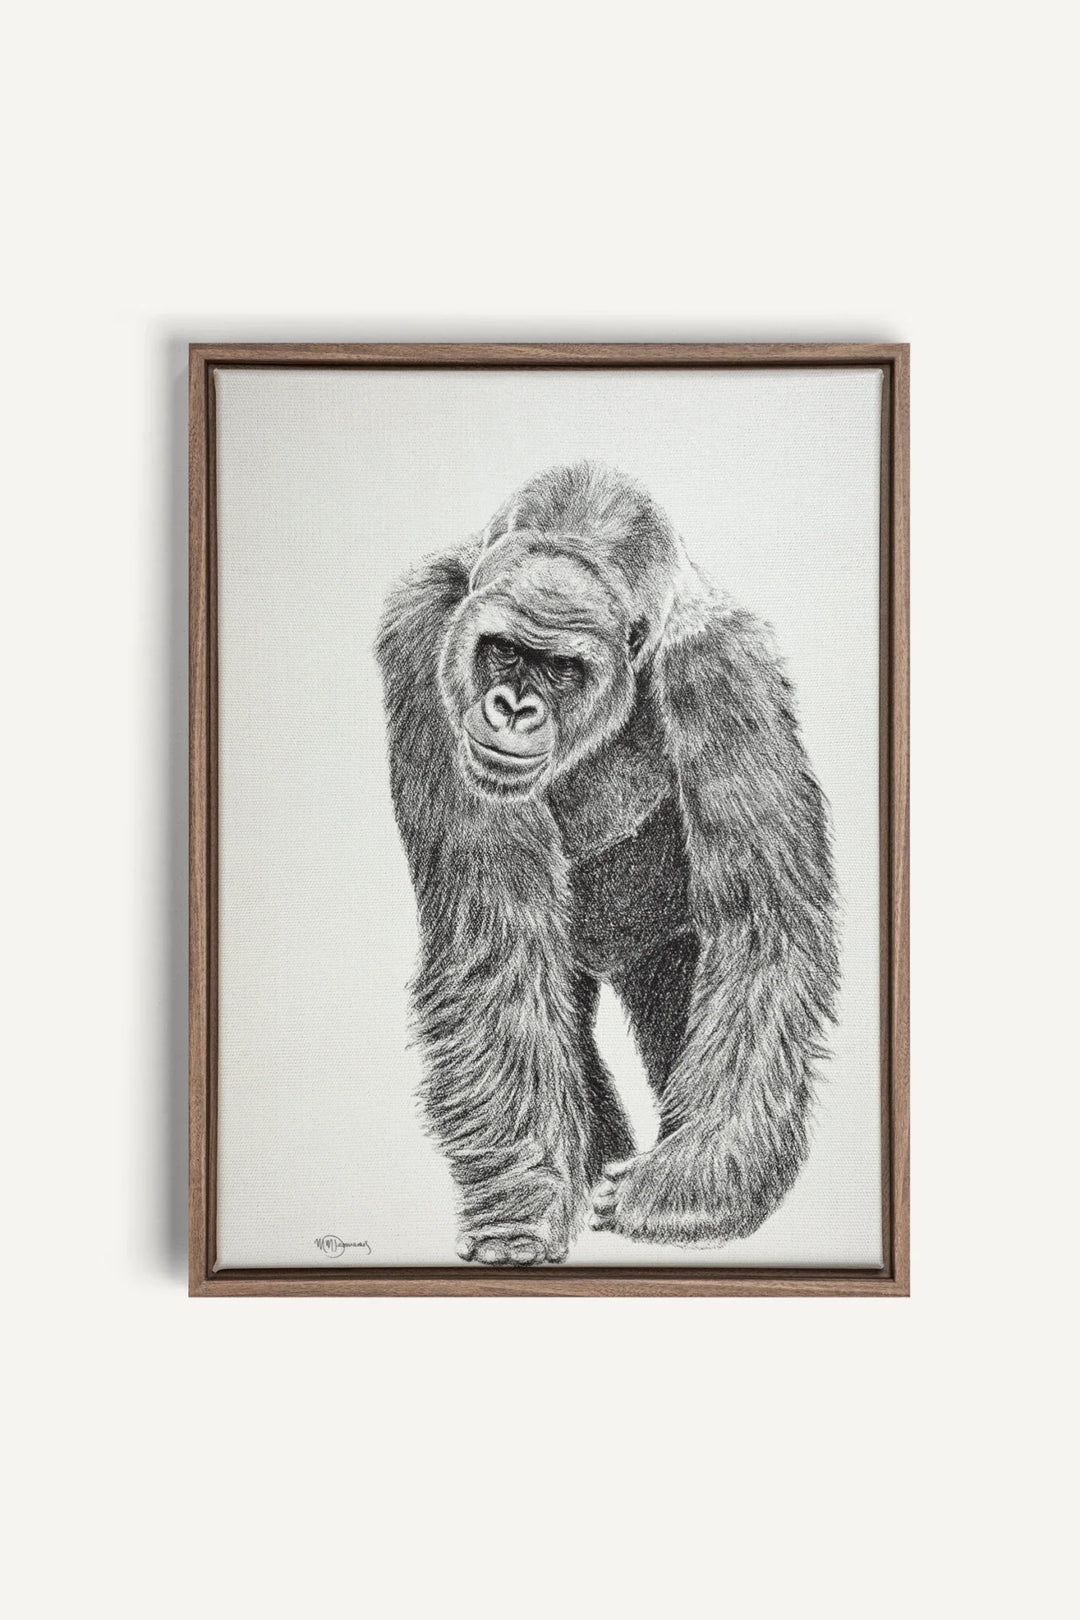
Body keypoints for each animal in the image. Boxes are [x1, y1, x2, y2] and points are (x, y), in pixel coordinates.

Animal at [377, 462, 838, 1265]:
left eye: (561, 667)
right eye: (505, 650)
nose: (511, 707)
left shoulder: (724, 670)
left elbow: (761, 927)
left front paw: (691, 1190)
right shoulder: (424, 631)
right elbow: (499, 946)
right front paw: (520, 1207)